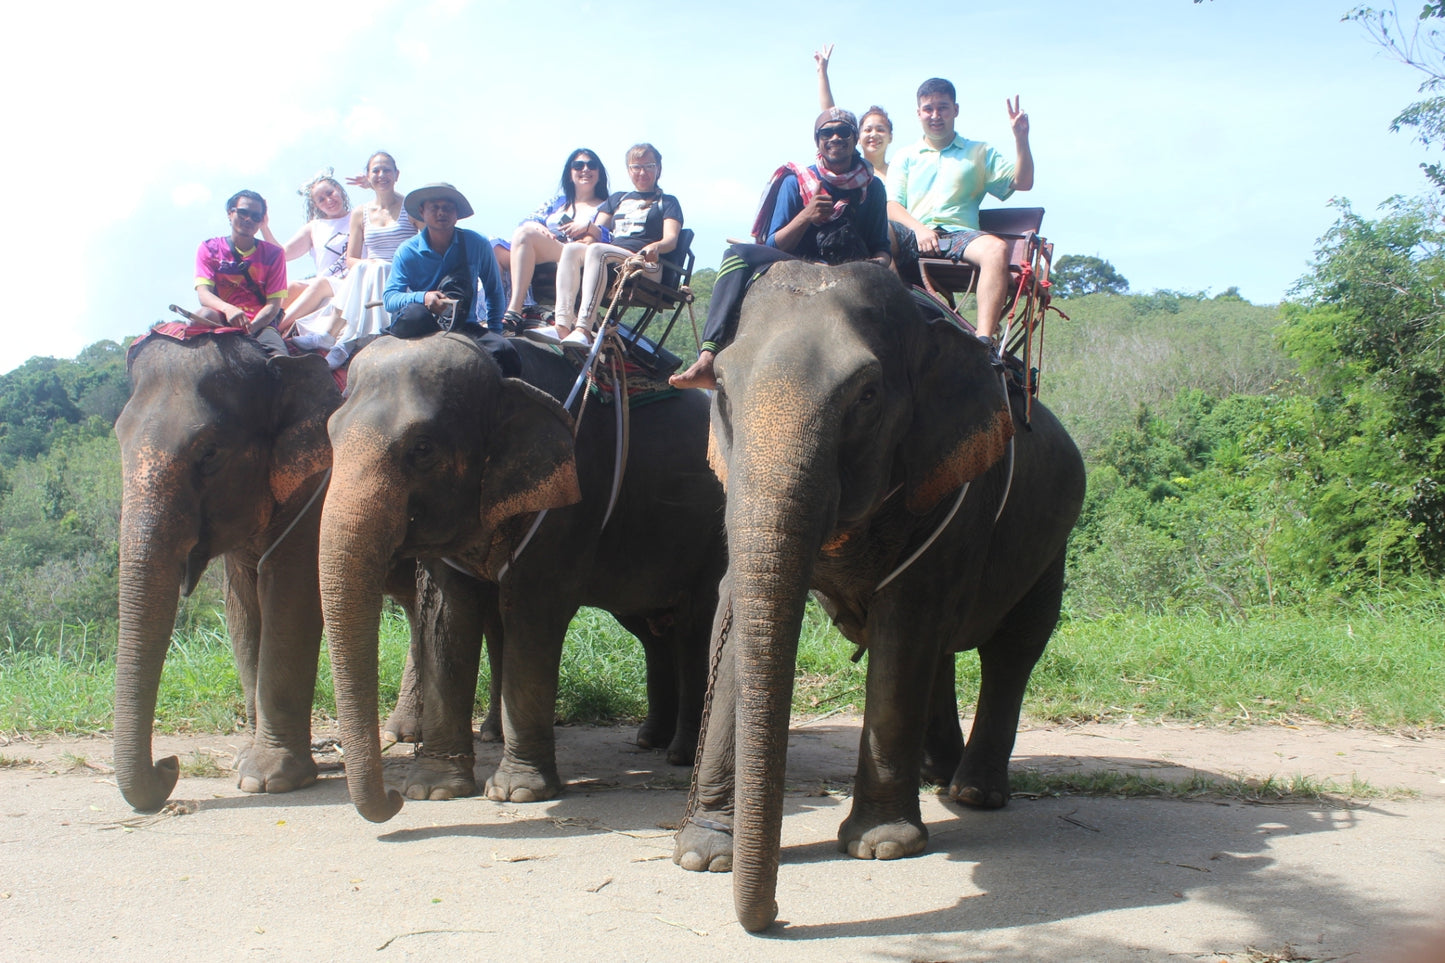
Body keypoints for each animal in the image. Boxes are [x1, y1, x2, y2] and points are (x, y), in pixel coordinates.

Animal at [113, 334, 341, 803]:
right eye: (118, 439)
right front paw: (244, 763)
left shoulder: (316, 484)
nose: (170, 764)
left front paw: (268, 781)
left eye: (210, 452)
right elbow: (242, 608)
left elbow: (290, 594)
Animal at [316, 329, 722, 815]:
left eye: (422, 449)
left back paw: (681, 753)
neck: (499, 371)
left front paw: (518, 791)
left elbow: (531, 615)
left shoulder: (570, 494)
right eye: (330, 435)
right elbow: (447, 617)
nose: (392, 799)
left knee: (693, 627)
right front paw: (433, 790)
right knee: (651, 629)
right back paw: (651, 740)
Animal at [673, 263, 1086, 931]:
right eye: (724, 392)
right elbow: (737, 611)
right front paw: (704, 854)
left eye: (867, 396)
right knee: (942, 652)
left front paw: (882, 845)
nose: (776, 918)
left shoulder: (955, 489)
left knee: (1014, 647)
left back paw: (972, 793)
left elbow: (904, 621)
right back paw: (937, 775)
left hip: (1052, 540)